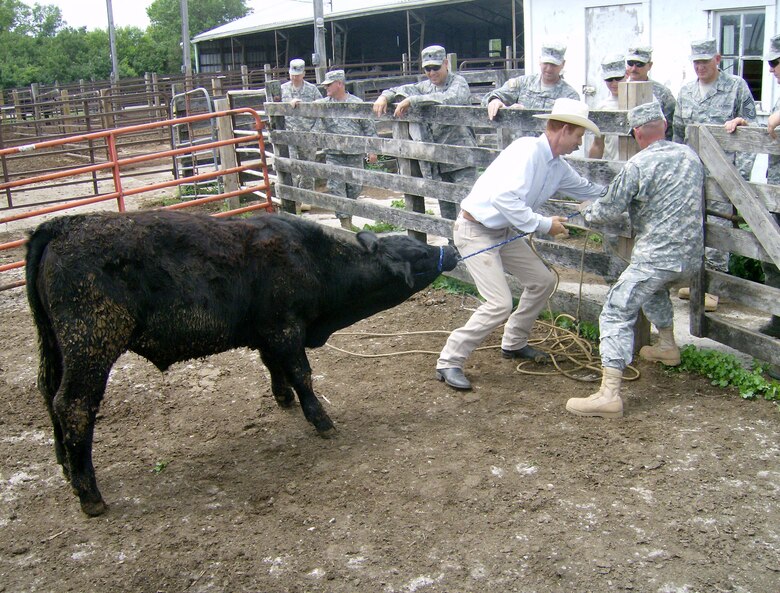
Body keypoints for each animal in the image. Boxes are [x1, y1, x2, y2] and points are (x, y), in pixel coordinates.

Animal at [25, 212, 458, 512]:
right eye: (420, 254)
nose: (452, 249)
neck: (314, 260)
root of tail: (61, 225)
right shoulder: (285, 328)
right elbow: (302, 373)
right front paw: (321, 420)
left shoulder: (267, 332)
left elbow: (274, 367)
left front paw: (283, 399)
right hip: (92, 344)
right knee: (74, 406)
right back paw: (89, 495)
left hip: (57, 347)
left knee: (49, 396)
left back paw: (66, 466)